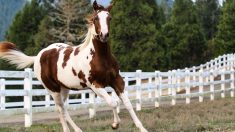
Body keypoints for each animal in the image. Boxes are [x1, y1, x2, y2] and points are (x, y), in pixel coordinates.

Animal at [0, 1, 147, 132]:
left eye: (109, 18)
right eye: (96, 18)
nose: (104, 35)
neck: (100, 58)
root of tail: (38, 56)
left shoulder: (117, 80)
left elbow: (127, 104)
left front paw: (142, 128)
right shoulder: (95, 85)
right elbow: (113, 102)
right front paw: (115, 124)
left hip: (64, 88)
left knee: (63, 109)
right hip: (53, 89)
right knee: (61, 109)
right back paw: (72, 130)